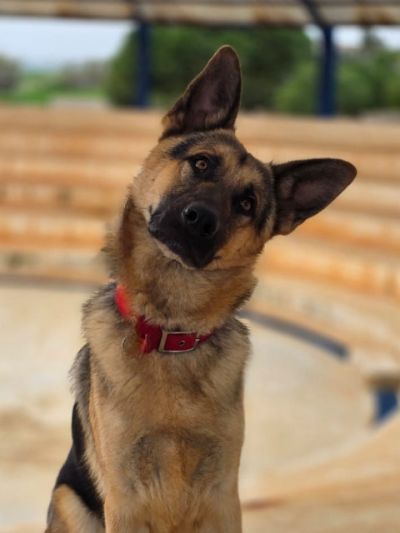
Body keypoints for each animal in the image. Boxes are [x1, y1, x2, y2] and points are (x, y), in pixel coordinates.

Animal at [46, 46, 356, 532]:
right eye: (201, 163)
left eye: (247, 203)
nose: (199, 219)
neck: (171, 331)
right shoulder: (125, 499)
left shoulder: (222, 497)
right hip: (69, 500)